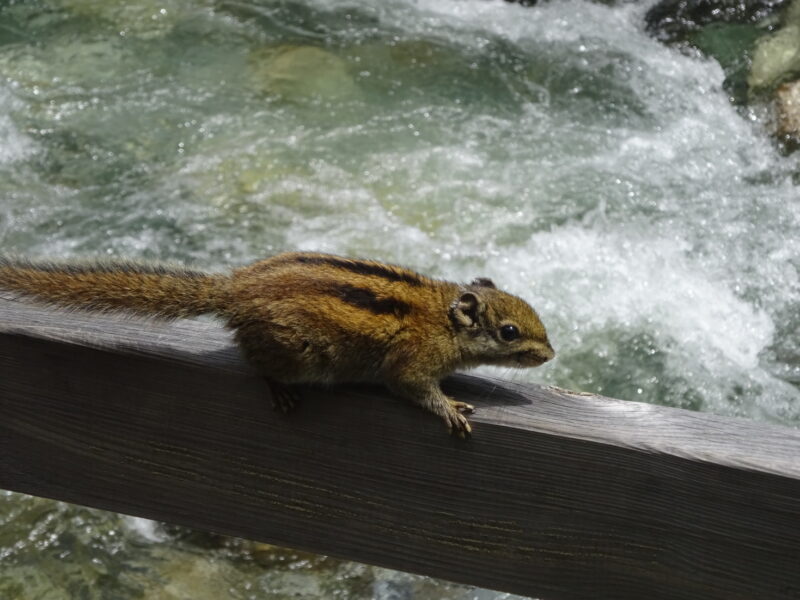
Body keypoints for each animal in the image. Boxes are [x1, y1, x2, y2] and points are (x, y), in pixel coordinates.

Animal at [0, 252, 554, 436]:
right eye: (510, 332)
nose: (550, 354)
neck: (441, 319)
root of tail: (233, 290)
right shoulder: (410, 363)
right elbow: (413, 388)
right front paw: (448, 407)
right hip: (298, 352)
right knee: (258, 365)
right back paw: (280, 390)